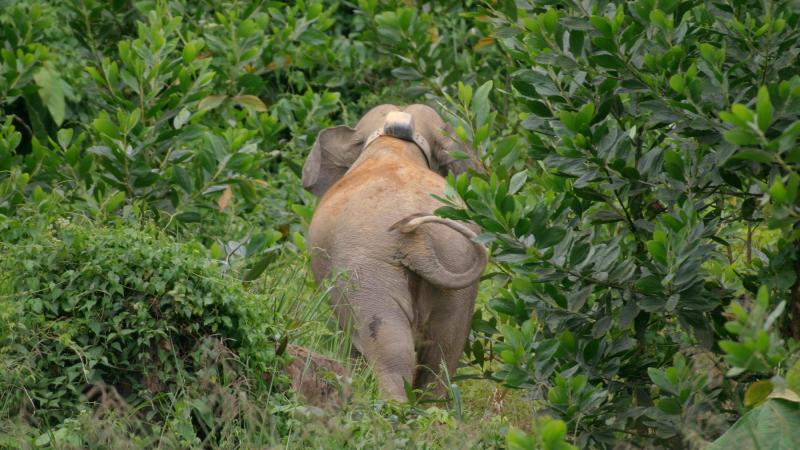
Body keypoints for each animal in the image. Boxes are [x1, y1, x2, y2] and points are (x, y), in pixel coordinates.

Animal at [301, 104, 488, 401]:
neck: (394, 145)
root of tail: (418, 243)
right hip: (455, 260)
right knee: (444, 350)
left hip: (367, 270)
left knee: (389, 344)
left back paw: (390, 406)